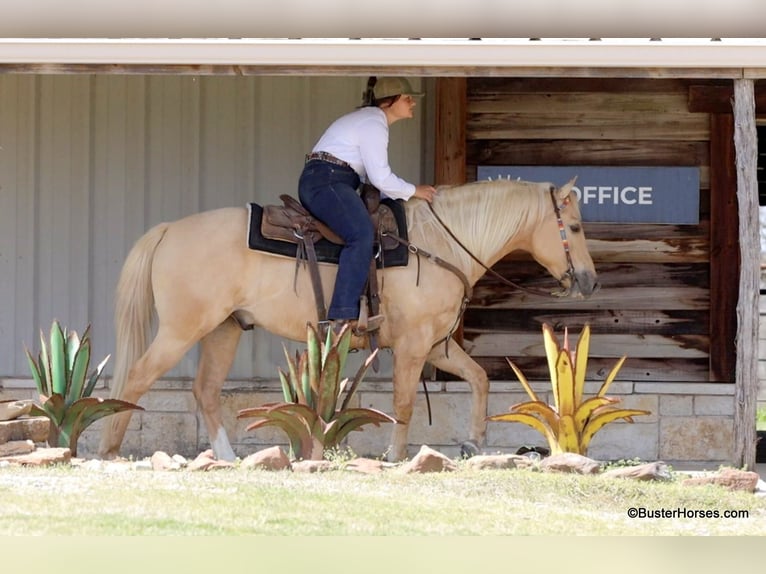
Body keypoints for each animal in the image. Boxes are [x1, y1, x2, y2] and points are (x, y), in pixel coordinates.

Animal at [98, 176, 598, 462]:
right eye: (574, 228)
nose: (589, 281)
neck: (439, 243)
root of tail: (169, 230)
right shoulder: (413, 346)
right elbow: (403, 403)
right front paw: (396, 456)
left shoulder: (437, 345)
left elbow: (480, 379)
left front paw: (474, 442)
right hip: (182, 330)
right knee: (137, 378)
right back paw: (110, 448)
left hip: (224, 329)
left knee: (205, 391)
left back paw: (226, 458)